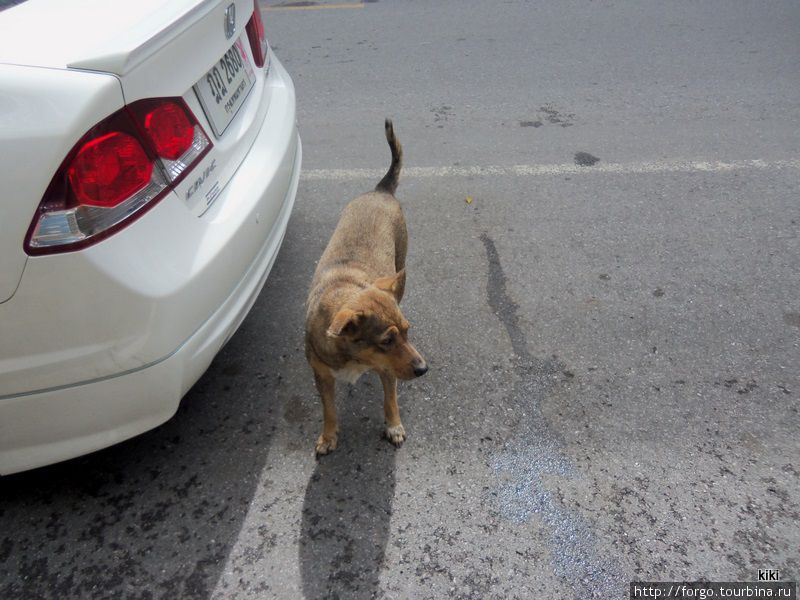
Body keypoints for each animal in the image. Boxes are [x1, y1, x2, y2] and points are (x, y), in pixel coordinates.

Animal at [304, 120, 428, 454]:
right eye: (386, 341)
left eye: (408, 331)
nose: (423, 369)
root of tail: (379, 190)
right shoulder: (322, 375)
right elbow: (329, 409)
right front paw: (328, 436)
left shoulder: (388, 371)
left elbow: (390, 400)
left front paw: (394, 426)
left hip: (401, 257)